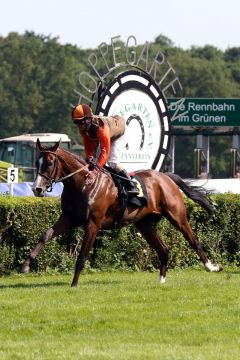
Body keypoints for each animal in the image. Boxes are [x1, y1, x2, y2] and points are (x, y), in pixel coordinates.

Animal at [20, 139, 223, 286]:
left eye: (50, 163)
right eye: (37, 162)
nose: (37, 188)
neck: (83, 184)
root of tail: (166, 176)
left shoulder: (93, 224)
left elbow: (82, 255)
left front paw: (74, 284)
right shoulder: (69, 218)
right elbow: (45, 235)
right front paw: (26, 265)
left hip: (177, 216)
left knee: (193, 240)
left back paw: (212, 267)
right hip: (144, 224)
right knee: (163, 249)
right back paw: (161, 280)